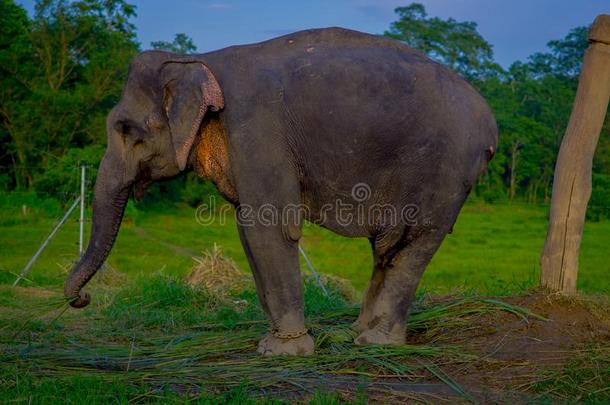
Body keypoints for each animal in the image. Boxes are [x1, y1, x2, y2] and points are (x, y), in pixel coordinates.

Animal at [65, 27, 494, 354]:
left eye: (125, 129)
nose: (81, 300)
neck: (196, 59)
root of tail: (490, 123)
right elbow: (247, 229)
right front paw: (269, 342)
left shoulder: (256, 129)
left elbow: (270, 227)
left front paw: (286, 351)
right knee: (387, 249)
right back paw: (356, 333)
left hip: (444, 171)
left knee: (412, 243)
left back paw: (377, 343)